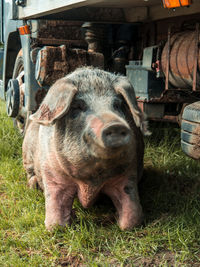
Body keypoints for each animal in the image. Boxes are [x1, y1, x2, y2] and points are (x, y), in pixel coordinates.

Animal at [22, 66, 149, 230]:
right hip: (27, 152)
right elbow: (55, 217)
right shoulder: (53, 174)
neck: (91, 181)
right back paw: (33, 186)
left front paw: (121, 220)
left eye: (117, 105)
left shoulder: (128, 173)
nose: (115, 125)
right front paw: (61, 223)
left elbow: (131, 217)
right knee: (30, 172)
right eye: (78, 107)